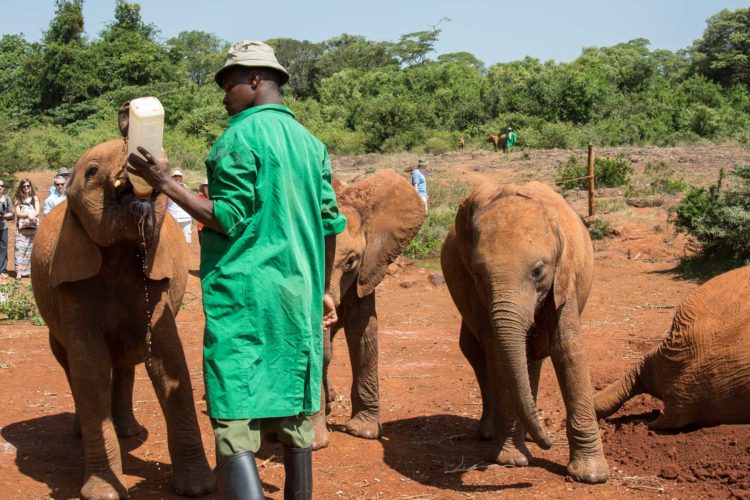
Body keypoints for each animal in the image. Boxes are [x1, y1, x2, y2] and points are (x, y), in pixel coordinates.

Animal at [30, 106, 213, 500]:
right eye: (91, 171)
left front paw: (198, 488)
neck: (118, 253)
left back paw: (129, 431)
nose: (126, 117)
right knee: (71, 362)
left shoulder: (155, 278)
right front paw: (103, 492)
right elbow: (90, 367)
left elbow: (167, 359)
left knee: (127, 360)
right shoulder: (72, 281)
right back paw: (86, 430)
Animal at [444, 181, 608, 484]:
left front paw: (591, 476)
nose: (549, 443)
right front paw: (511, 461)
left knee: (532, 357)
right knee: (480, 355)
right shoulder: (477, 294)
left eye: (538, 271)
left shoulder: (565, 276)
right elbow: (497, 352)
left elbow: (568, 348)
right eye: (478, 274)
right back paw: (493, 434)